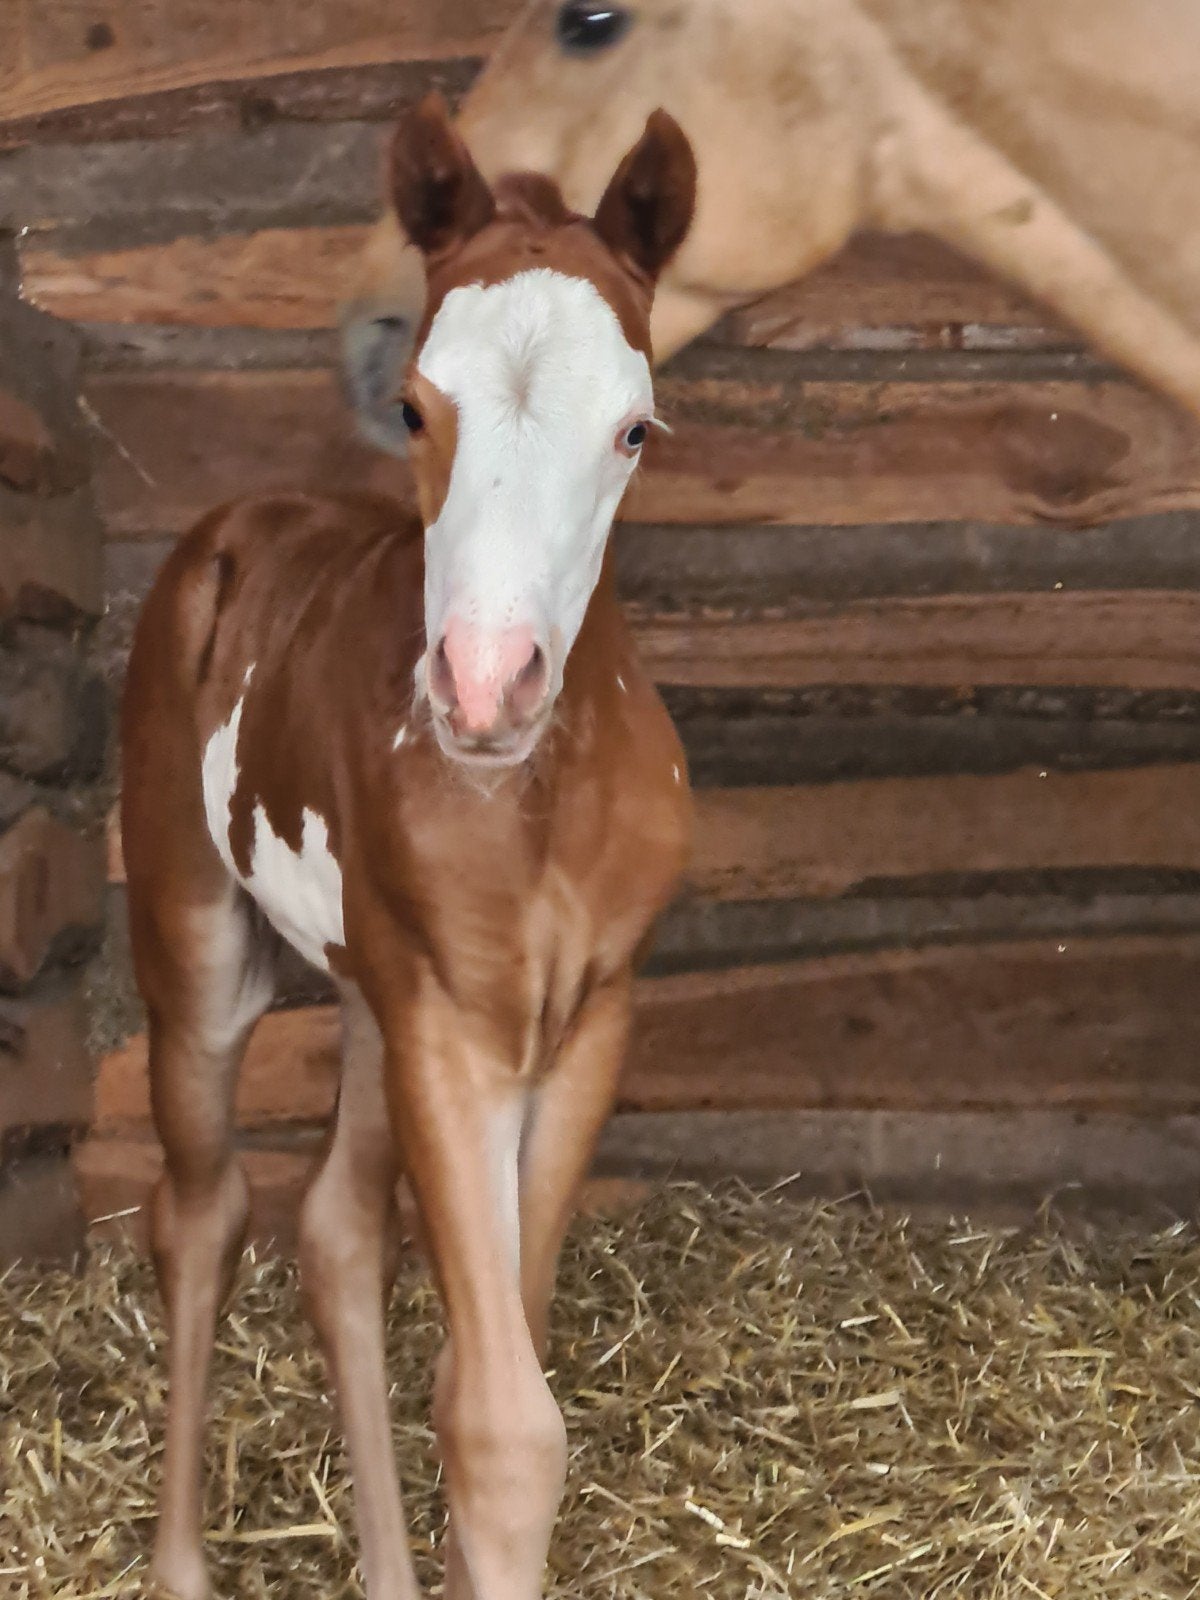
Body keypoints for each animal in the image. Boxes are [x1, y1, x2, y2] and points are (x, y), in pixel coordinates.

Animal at [121, 94, 696, 1600]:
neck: (539, 804)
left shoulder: (584, 1023)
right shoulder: (451, 1028)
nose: (486, 687)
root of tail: (233, 529)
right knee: (200, 1214)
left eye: (635, 429)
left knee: (331, 1233)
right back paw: (180, 1563)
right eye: (414, 407)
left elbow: (500, 1355)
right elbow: (502, 1427)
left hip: (372, 994)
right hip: (199, 953)